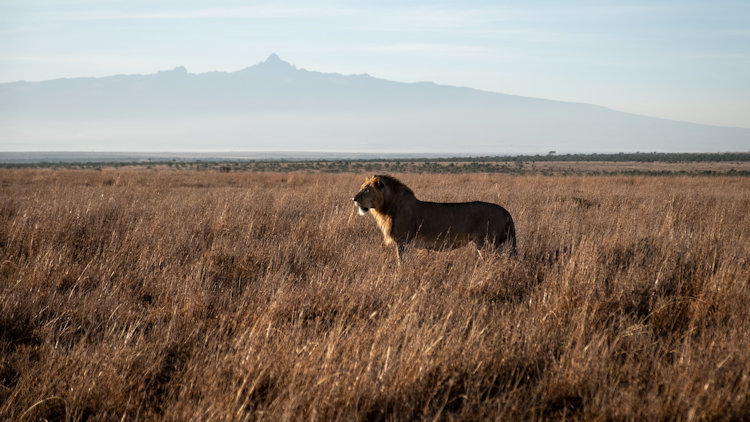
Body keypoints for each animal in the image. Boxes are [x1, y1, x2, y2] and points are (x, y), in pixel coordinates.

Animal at [352, 174, 516, 260]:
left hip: (488, 244)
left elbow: (401, 263)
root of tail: (505, 211)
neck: (386, 207)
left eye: (366, 190)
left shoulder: (403, 242)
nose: (353, 199)